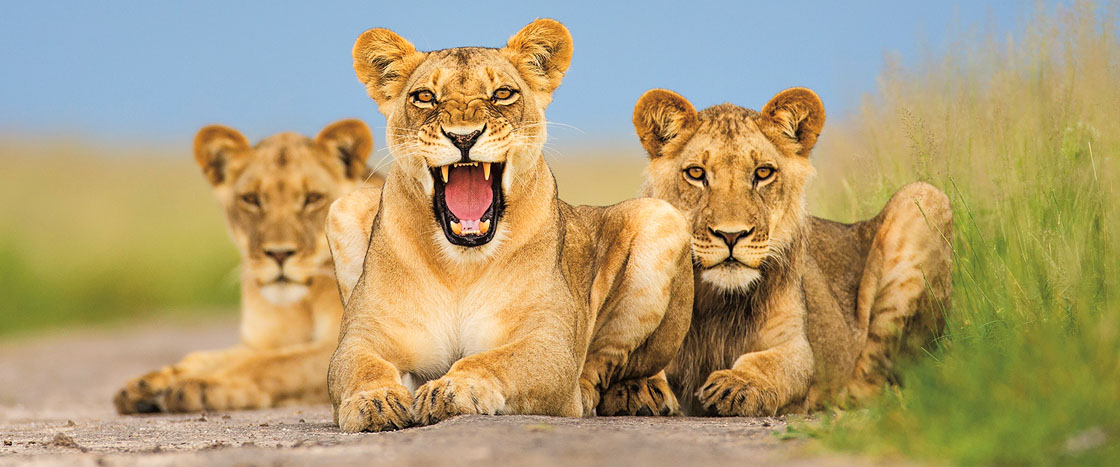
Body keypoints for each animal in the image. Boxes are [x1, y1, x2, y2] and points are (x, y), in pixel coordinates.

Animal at [113, 119, 382, 414]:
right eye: (251, 199)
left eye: (312, 198)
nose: (279, 254)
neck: (301, 304)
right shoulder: (259, 342)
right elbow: (207, 357)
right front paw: (147, 384)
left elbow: (273, 363)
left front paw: (204, 385)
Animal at [323, 19, 694, 432]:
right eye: (425, 97)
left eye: (502, 93)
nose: (464, 136)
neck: (460, 267)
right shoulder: (361, 338)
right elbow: (359, 367)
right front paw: (375, 401)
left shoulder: (549, 344)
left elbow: (492, 360)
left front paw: (453, 389)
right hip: (346, 204)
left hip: (661, 216)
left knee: (612, 362)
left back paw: (629, 392)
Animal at [632, 88, 953, 416]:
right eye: (696, 173)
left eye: (763, 172)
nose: (731, 235)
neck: (716, 302)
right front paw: (636, 388)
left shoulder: (794, 345)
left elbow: (771, 363)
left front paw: (738, 385)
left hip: (925, 197)